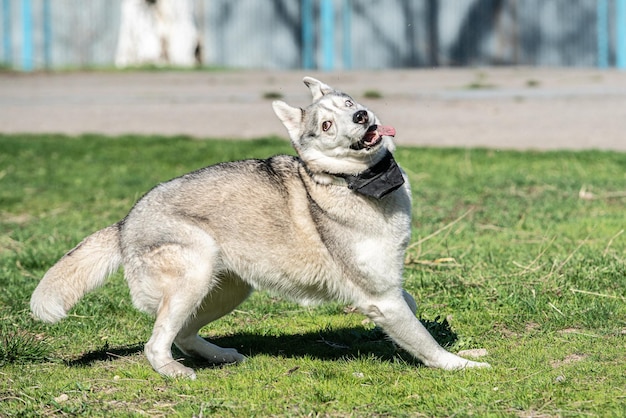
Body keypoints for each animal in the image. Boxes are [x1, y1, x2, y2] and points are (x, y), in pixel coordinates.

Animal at [30, 76, 488, 378]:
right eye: (325, 126)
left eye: (347, 104)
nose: (361, 115)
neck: (359, 182)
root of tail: (125, 222)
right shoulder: (380, 297)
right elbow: (423, 340)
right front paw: (460, 365)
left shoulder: (388, 287)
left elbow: (412, 305)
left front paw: (466, 349)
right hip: (194, 275)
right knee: (156, 342)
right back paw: (175, 373)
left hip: (228, 288)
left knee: (184, 333)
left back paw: (220, 357)